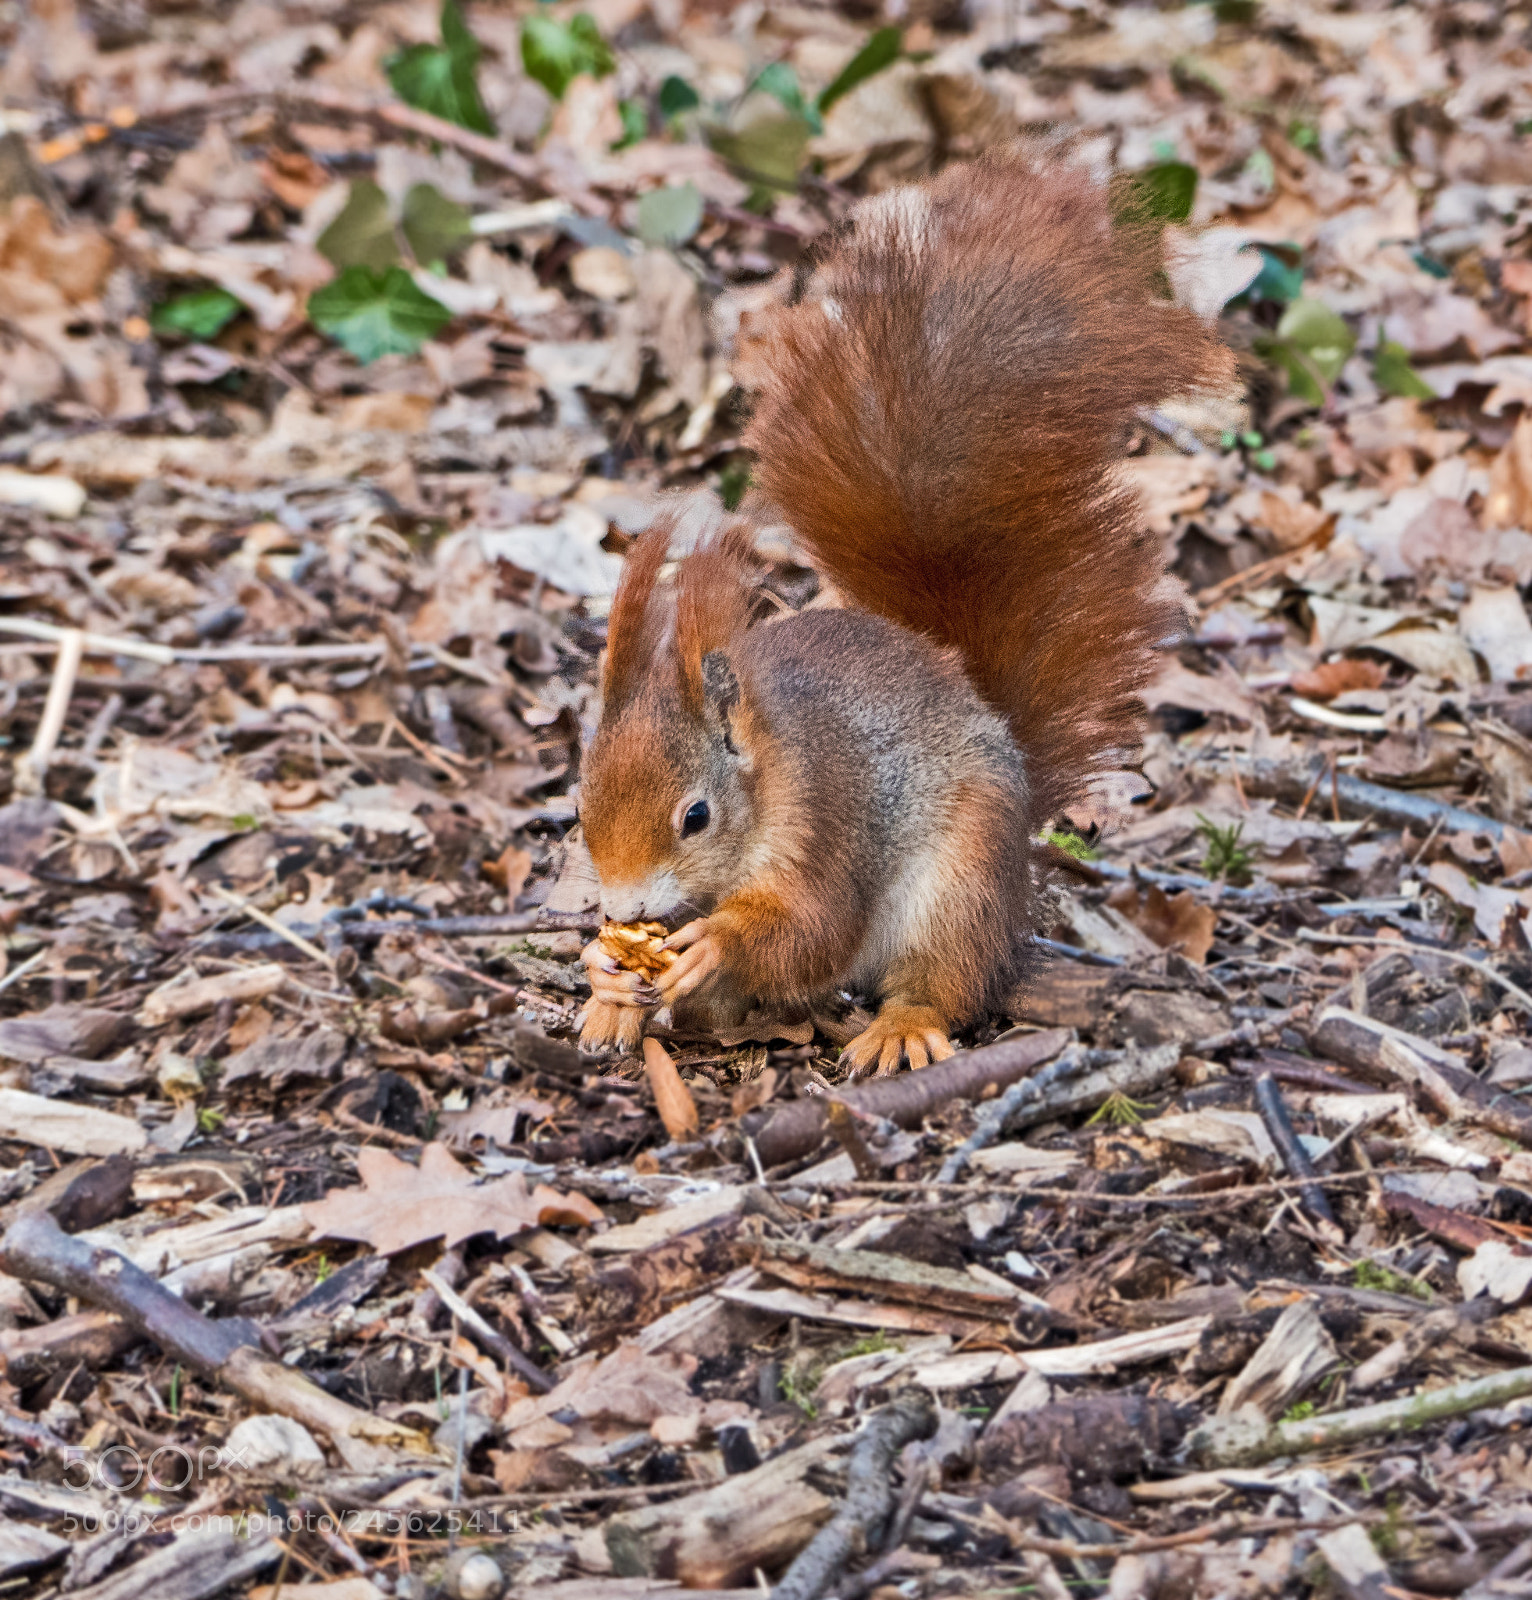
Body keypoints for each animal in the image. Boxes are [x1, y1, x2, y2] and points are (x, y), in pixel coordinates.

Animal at [575, 151, 1230, 1072]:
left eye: (695, 816)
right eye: (580, 804)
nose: (623, 907)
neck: (766, 776)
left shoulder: (827, 823)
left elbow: (812, 926)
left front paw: (716, 944)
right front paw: (604, 970)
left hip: (958, 880)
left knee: (944, 975)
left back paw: (902, 1024)